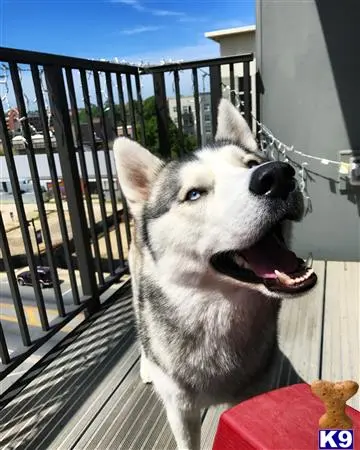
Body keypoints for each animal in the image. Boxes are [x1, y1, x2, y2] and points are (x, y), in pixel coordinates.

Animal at [113, 99, 318, 450]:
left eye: (252, 163)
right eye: (194, 194)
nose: (277, 174)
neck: (219, 311)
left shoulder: (251, 396)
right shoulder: (181, 411)